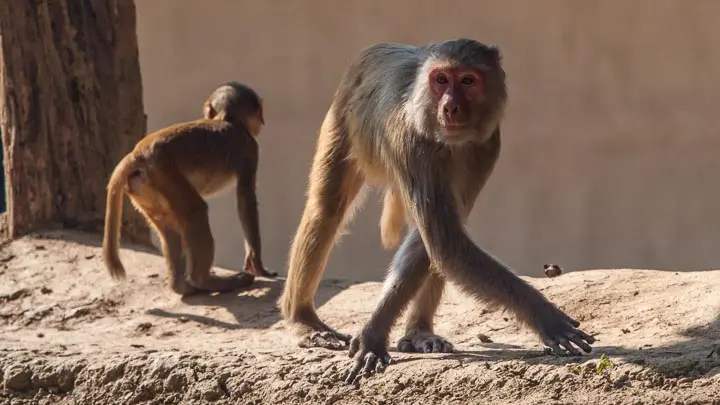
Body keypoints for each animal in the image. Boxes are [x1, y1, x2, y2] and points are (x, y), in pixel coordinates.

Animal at [103, 81, 277, 297]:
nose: (260, 123)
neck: (226, 119)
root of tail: (138, 154)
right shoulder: (250, 150)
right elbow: (246, 200)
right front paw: (257, 265)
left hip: (142, 189)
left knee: (167, 222)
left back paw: (182, 286)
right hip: (166, 175)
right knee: (196, 211)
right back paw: (205, 281)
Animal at [276, 38, 595, 382]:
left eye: (468, 81)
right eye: (441, 80)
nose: (450, 107)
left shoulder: (485, 146)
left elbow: (440, 242)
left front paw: (378, 333)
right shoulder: (411, 142)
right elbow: (445, 242)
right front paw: (544, 315)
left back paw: (419, 333)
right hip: (344, 115)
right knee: (327, 211)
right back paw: (304, 320)